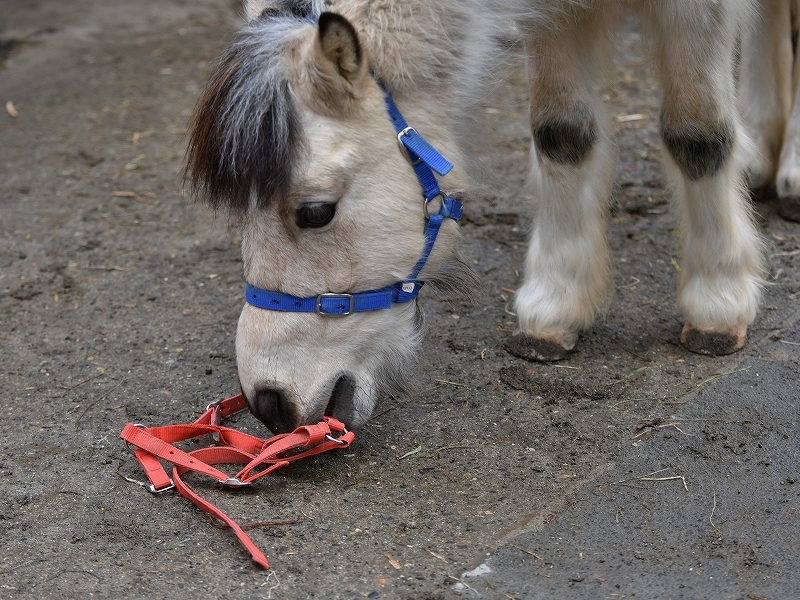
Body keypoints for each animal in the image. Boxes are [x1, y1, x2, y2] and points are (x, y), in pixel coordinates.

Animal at [184, 0, 764, 432]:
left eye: (315, 212)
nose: (268, 402)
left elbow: (698, 134)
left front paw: (717, 301)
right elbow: (562, 134)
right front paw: (556, 305)